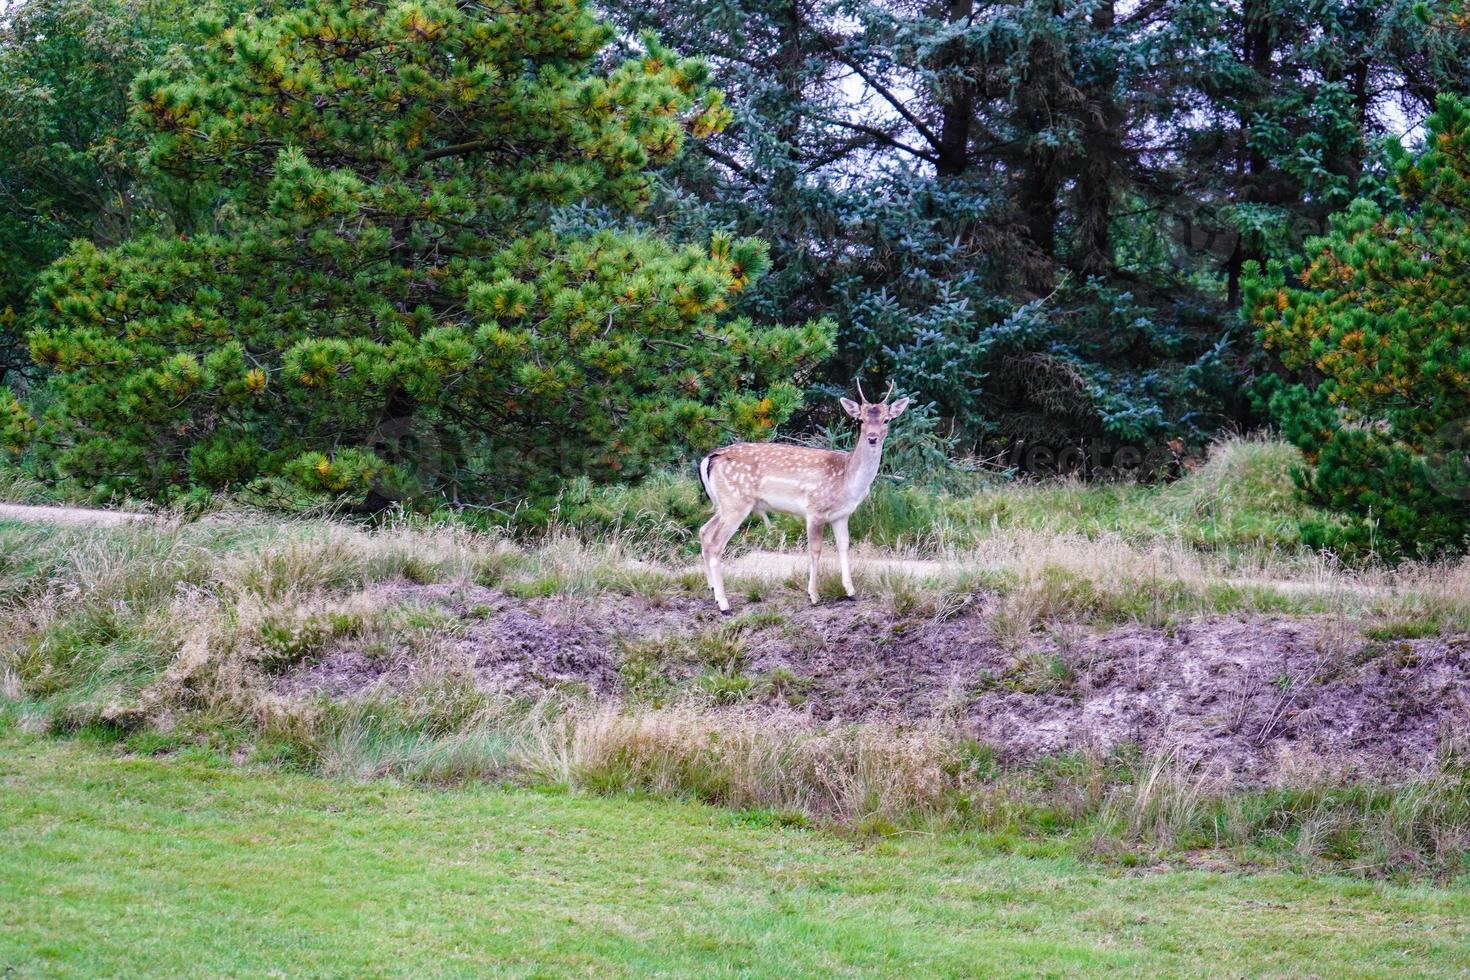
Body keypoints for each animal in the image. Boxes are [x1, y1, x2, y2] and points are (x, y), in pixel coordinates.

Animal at [690, 382, 905, 614]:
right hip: (735, 502)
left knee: (704, 531)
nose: (872, 438)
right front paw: (813, 595)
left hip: (724, 504)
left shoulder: (842, 514)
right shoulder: (815, 509)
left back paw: (712, 589)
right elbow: (815, 550)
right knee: (715, 543)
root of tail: (710, 458)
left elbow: (844, 546)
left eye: (886, 419)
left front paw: (850, 592)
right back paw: (724, 604)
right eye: (861, 420)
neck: (848, 480)